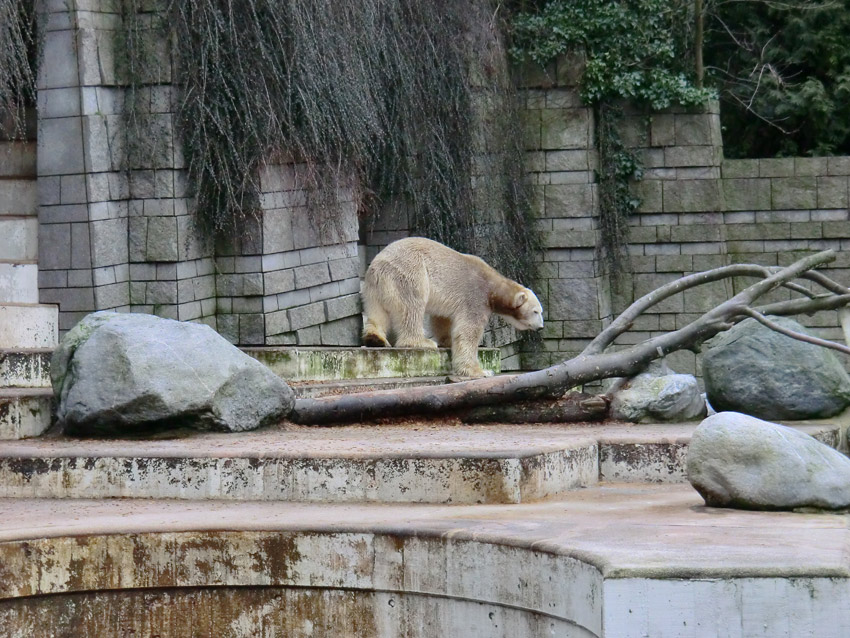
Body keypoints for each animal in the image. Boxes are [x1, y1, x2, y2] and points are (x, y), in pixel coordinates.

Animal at [360, 240, 544, 380]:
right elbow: (468, 331)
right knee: (412, 306)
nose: (541, 327)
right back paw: (422, 342)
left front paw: (447, 340)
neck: (493, 287)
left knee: (377, 313)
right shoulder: (475, 296)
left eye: (541, 311)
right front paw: (480, 371)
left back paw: (375, 339)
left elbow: (442, 319)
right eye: (536, 311)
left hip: (373, 288)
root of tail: (379, 266)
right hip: (409, 273)